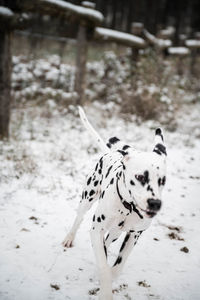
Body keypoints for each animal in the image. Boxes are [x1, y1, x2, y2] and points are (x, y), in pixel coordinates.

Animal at [63, 108, 167, 300]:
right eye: (140, 177)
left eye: (162, 180)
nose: (155, 203)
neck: (128, 208)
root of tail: (112, 153)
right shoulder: (96, 229)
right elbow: (104, 267)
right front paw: (105, 290)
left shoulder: (134, 234)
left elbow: (118, 265)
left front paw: (111, 275)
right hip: (87, 198)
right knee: (79, 218)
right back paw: (69, 238)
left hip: (117, 232)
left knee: (108, 240)